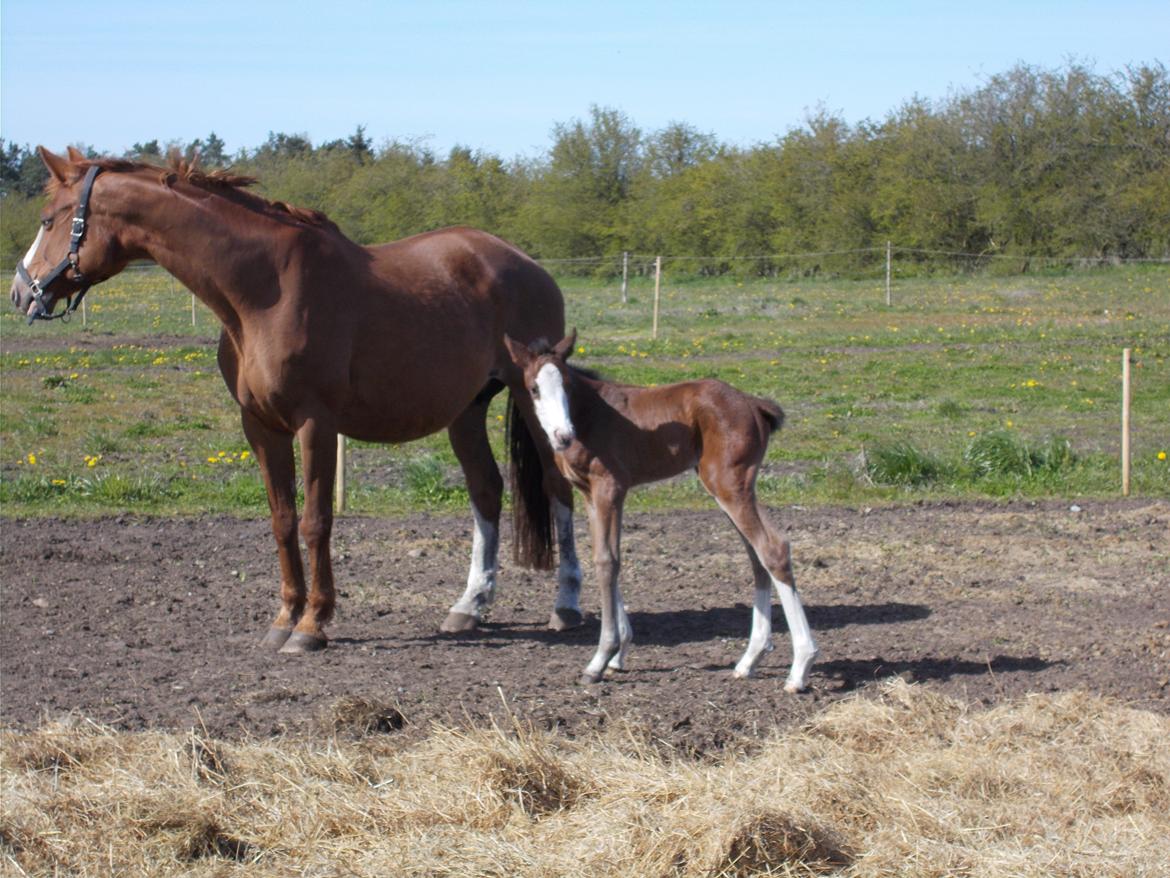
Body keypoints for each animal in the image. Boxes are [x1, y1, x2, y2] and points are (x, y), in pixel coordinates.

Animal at [505, 332, 823, 693]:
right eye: (534, 388)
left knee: (773, 549)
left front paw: (601, 658)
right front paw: (618, 652)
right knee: (757, 558)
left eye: (567, 386)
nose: (563, 436)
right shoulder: (590, 495)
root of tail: (752, 404)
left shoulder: (609, 488)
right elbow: (607, 556)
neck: (588, 415)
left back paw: (800, 668)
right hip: (732, 489)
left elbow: (607, 561)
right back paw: (749, 660)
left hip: (730, 485)